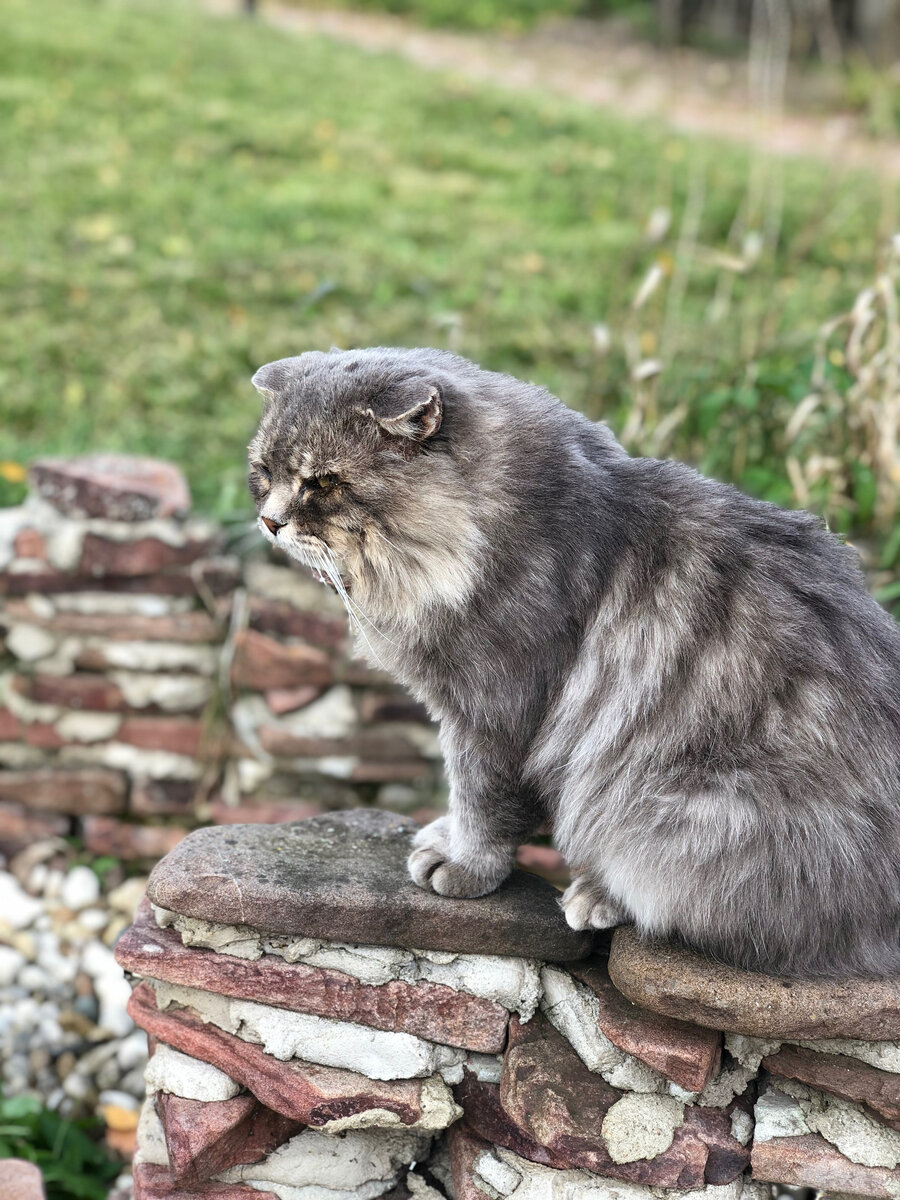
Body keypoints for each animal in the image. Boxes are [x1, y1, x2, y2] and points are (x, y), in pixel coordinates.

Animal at [247, 345, 900, 974]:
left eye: (323, 483)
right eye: (264, 473)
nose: (270, 521)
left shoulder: (495, 709)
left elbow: (481, 800)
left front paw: (463, 865)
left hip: (684, 813)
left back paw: (595, 895)